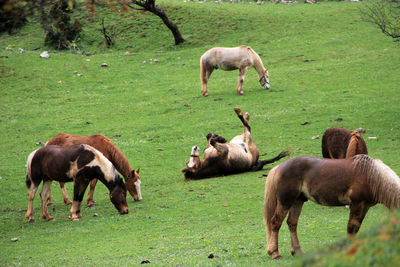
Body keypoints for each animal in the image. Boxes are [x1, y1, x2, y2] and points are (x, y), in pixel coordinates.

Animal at [262, 155, 400, 260]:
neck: (372, 175)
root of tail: (279, 167)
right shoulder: (357, 204)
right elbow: (351, 228)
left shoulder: (365, 206)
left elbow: (355, 228)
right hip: (285, 202)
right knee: (275, 223)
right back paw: (274, 253)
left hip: (297, 201)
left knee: (292, 223)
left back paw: (297, 251)